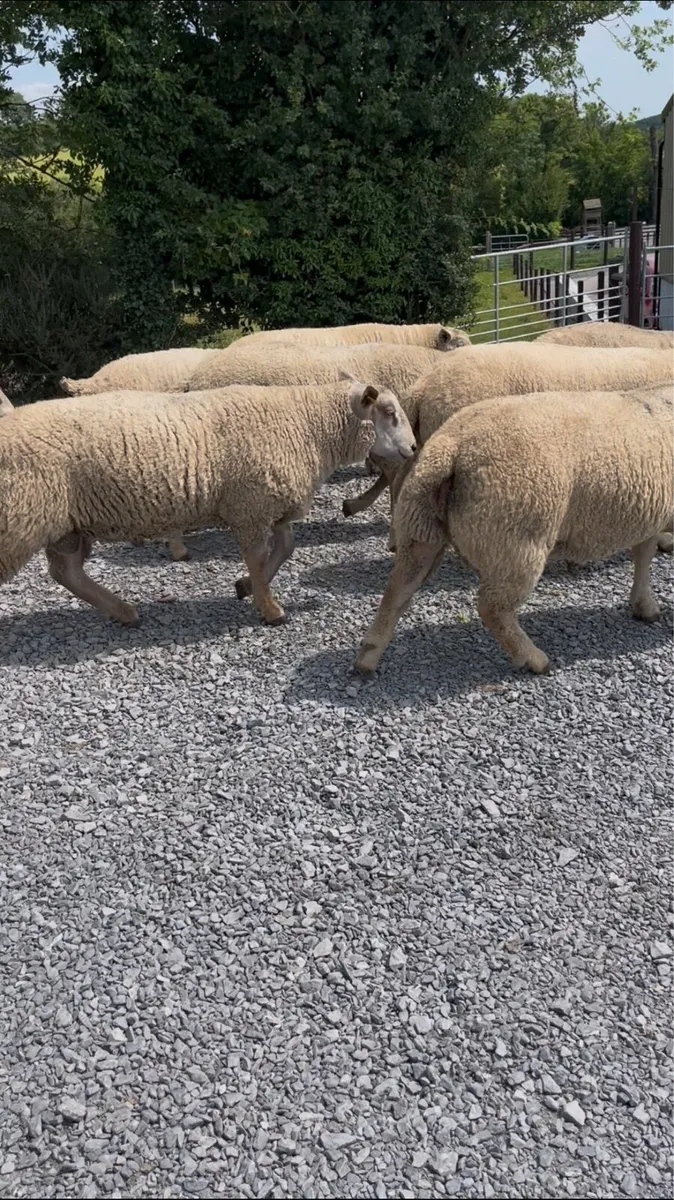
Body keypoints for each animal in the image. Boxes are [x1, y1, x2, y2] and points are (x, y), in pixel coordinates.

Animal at [0, 379, 415, 628]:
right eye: (389, 414)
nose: (413, 448)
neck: (306, 426)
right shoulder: (250, 507)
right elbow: (258, 557)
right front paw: (269, 608)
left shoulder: (269, 503)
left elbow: (284, 549)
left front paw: (246, 588)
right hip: (21, 518)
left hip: (66, 524)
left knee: (67, 572)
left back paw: (125, 612)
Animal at [354, 384, 673, 677]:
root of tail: (450, 446)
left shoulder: (654, 512)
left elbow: (644, 554)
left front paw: (644, 605)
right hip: (517, 537)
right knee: (492, 607)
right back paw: (532, 658)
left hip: (422, 527)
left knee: (398, 589)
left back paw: (367, 656)